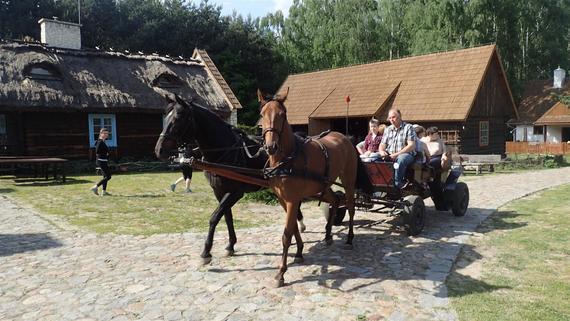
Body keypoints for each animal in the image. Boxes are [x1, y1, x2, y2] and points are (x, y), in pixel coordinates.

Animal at [154, 94, 306, 262]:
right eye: (165, 117)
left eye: (178, 117)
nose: (159, 150)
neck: (226, 149)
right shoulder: (219, 191)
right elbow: (227, 216)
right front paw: (230, 246)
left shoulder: (235, 193)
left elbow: (214, 217)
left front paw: (206, 252)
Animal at [258, 89, 368, 286]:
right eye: (262, 114)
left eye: (282, 114)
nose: (271, 146)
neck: (287, 159)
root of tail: (346, 138)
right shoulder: (284, 200)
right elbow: (294, 226)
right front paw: (299, 253)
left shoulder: (293, 200)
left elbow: (287, 234)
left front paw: (281, 272)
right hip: (324, 185)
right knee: (335, 201)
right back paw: (328, 235)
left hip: (348, 181)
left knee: (350, 207)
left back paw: (349, 239)